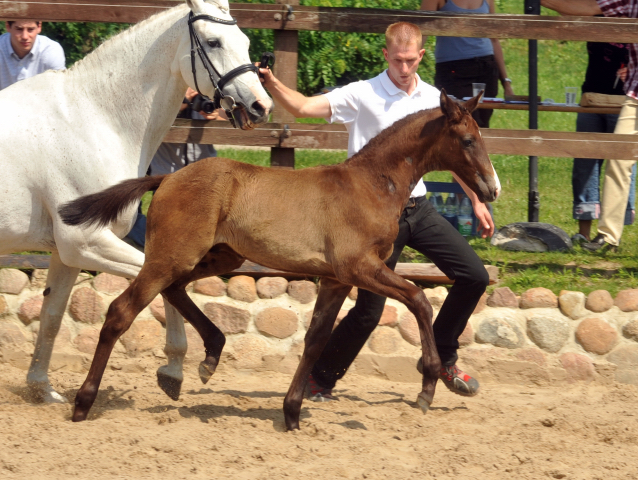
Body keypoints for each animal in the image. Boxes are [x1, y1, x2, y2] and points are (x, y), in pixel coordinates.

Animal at [0, 0, 272, 404]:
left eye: (246, 41)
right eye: (213, 42)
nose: (260, 105)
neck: (94, 119)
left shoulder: (66, 254)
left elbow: (51, 317)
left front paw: (42, 388)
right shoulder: (85, 243)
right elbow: (164, 283)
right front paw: (175, 368)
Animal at [60, 91, 500, 432]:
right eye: (466, 140)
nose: (491, 189)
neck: (371, 186)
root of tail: (166, 178)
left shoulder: (337, 279)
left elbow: (316, 338)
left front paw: (292, 412)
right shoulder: (359, 267)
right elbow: (419, 299)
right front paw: (428, 385)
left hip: (217, 257)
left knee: (175, 290)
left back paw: (211, 354)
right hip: (172, 256)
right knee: (121, 311)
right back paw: (83, 403)